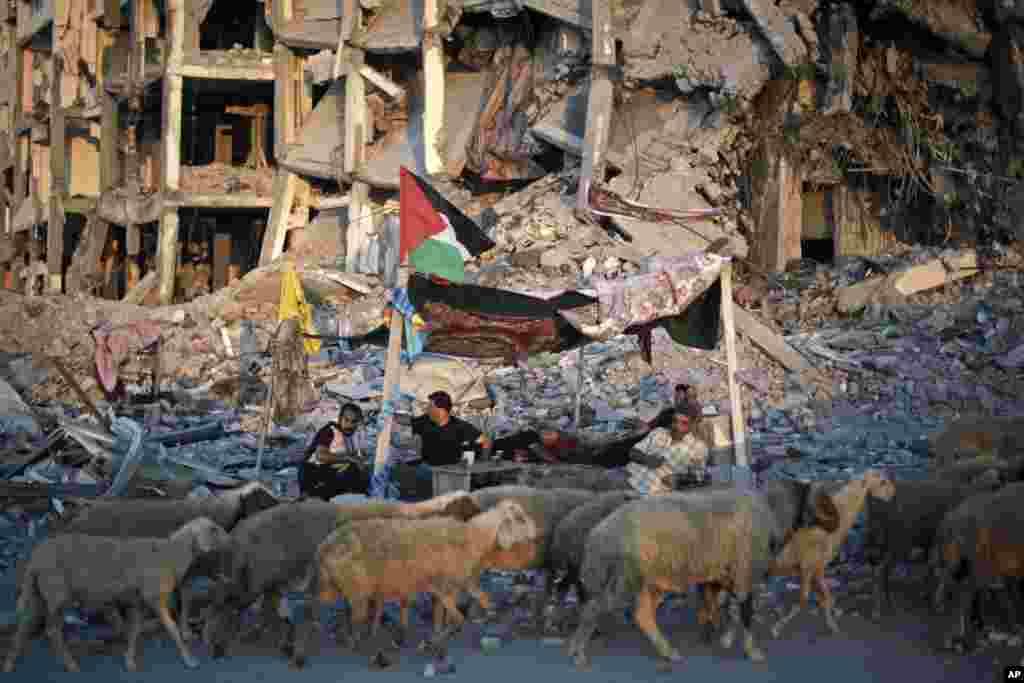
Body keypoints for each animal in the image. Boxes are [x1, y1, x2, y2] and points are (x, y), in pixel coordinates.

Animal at [3, 518, 231, 671]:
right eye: (213, 529)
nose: (230, 539)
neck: (170, 554)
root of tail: (35, 558)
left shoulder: (139, 600)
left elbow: (134, 629)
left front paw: (129, 660)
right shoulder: (155, 597)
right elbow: (171, 628)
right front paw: (189, 660)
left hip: (38, 593)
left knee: (24, 625)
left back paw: (9, 664)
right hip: (57, 593)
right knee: (52, 630)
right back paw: (70, 665)